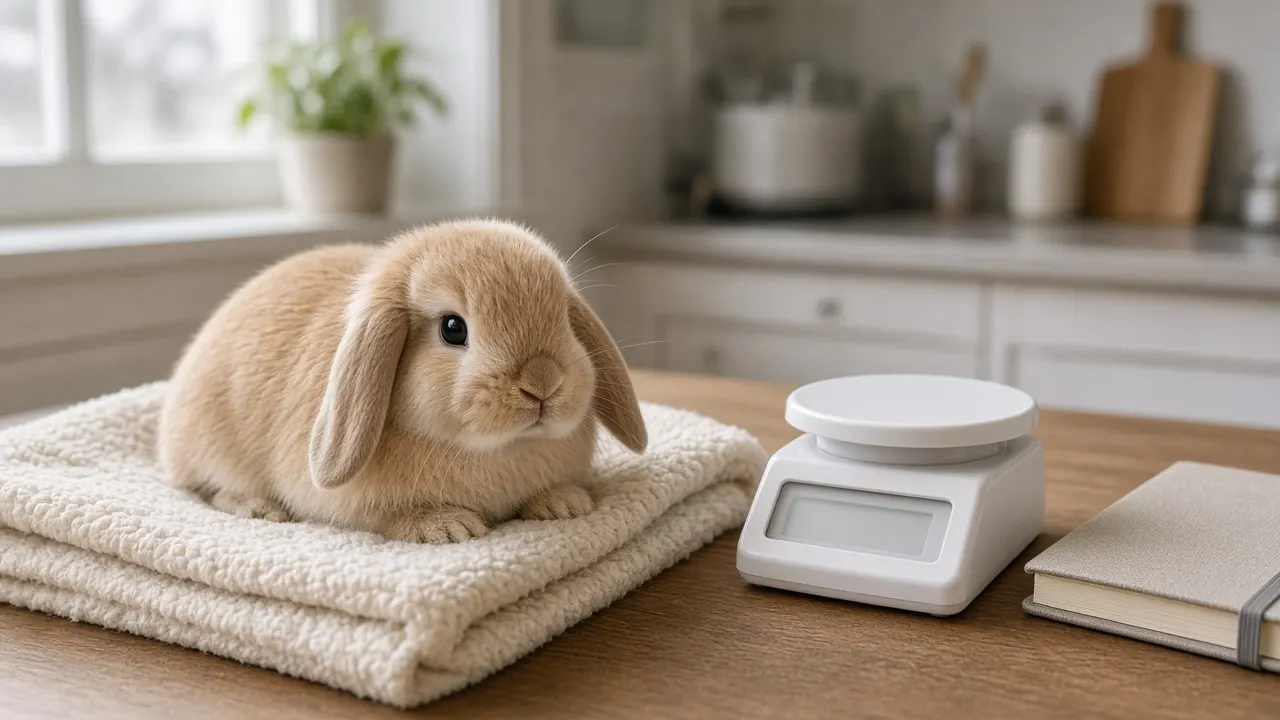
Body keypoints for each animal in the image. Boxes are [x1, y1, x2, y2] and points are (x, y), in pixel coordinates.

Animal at [156, 219, 647, 543]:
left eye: (563, 318)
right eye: (453, 328)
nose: (543, 383)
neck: (502, 450)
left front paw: (564, 504)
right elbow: (390, 518)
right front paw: (448, 527)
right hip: (215, 447)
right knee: (212, 489)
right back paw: (261, 509)